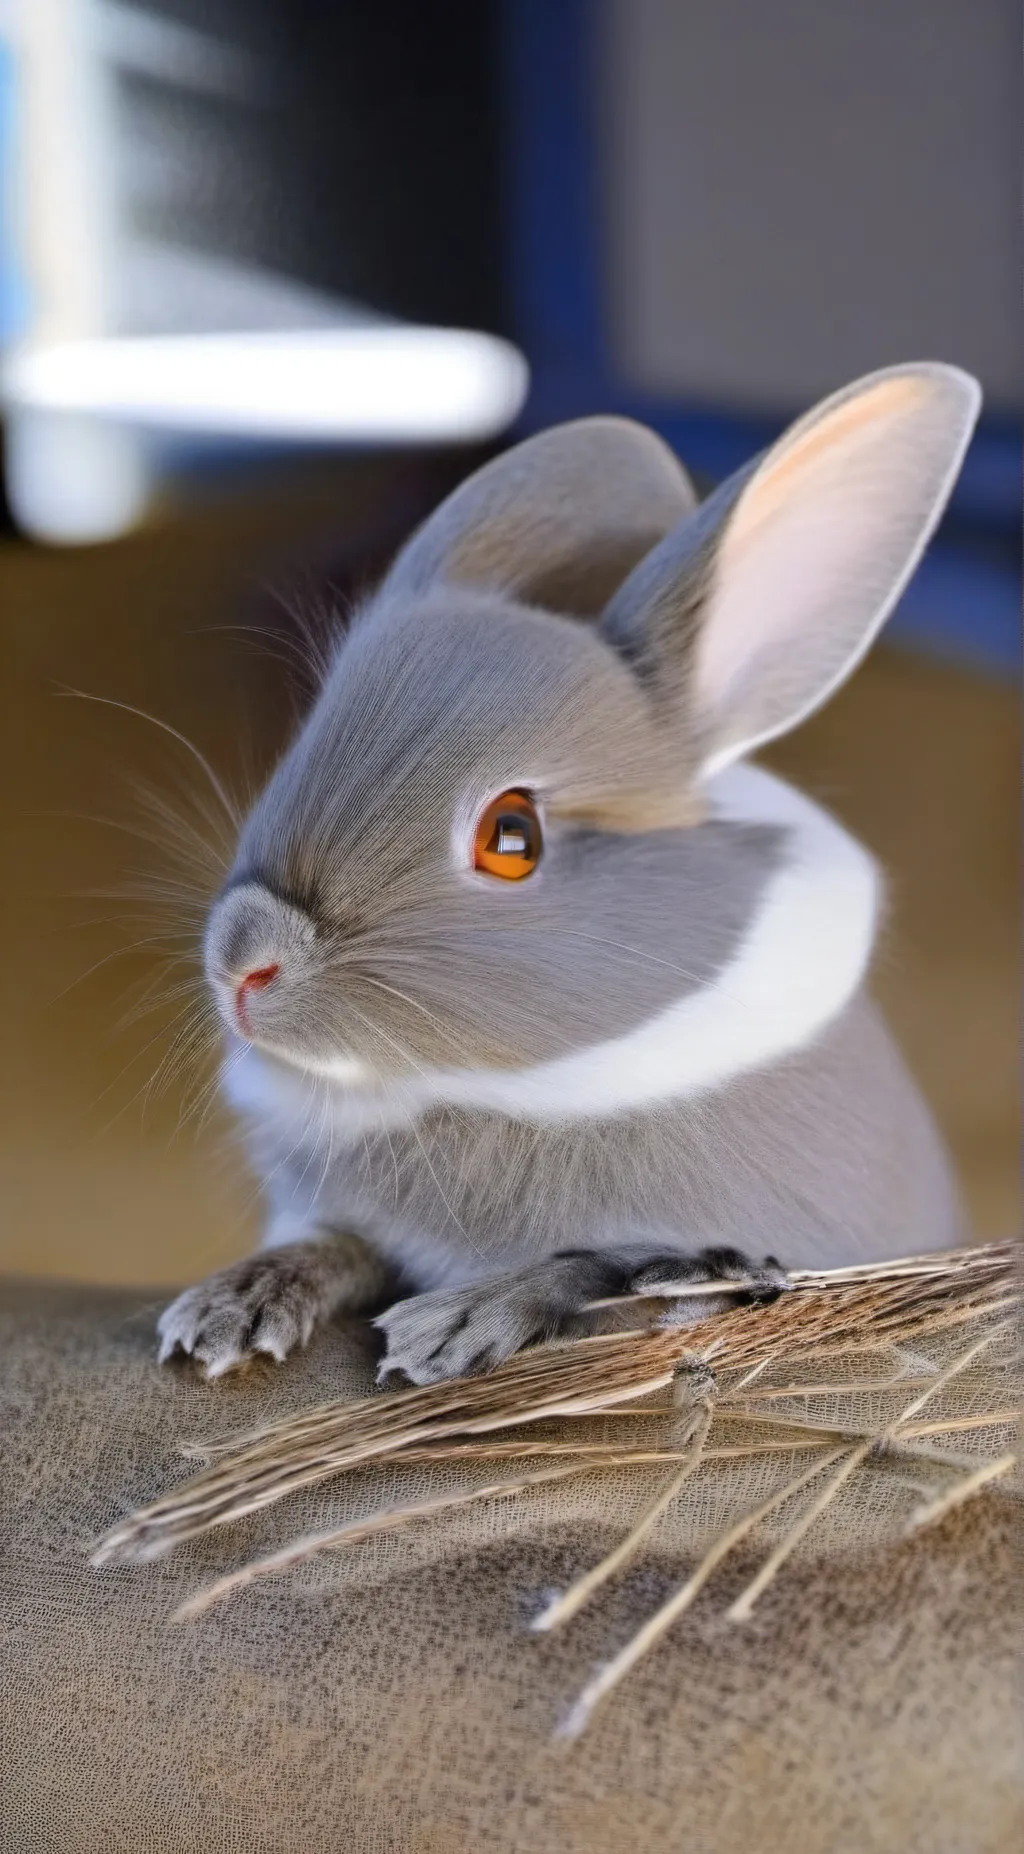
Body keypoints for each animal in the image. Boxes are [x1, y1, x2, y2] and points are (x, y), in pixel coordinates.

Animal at [157, 361, 981, 1386]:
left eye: (511, 837)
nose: (243, 961)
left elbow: (600, 1267)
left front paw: (453, 1327)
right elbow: (331, 1244)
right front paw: (228, 1311)